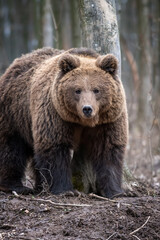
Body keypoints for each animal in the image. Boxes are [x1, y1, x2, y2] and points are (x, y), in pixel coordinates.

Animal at [0, 47, 127, 199]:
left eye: (96, 90)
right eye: (77, 90)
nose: (87, 109)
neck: (82, 122)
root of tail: (14, 64)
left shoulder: (108, 121)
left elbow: (108, 149)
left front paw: (115, 191)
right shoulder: (55, 114)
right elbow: (55, 147)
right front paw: (66, 190)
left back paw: (40, 186)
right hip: (15, 113)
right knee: (11, 148)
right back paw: (16, 186)